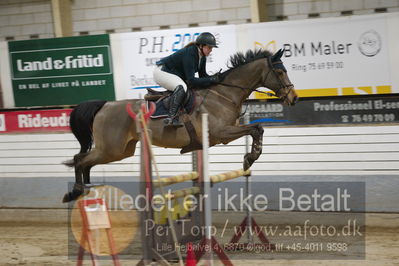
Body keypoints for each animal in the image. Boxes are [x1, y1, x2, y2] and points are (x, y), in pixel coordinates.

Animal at [62, 48, 298, 202]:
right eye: (279, 72)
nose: (293, 98)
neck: (224, 94)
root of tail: (104, 105)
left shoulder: (223, 134)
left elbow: (257, 129)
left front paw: (250, 157)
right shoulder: (221, 133)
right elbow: (256, 129)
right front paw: (250, 157)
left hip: (120, 151)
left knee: (85, 161)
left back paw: (86, 191)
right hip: (111, 149)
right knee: (80, 160)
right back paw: (75, 191)